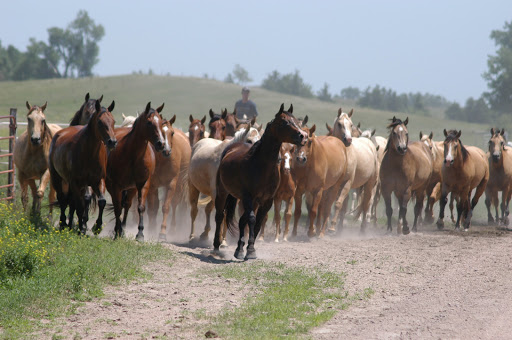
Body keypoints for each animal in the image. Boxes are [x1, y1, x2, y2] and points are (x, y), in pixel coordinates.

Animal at [106, 102, 168, 240]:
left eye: (161, 122)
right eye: (149, 122)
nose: (161, 144)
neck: (133, 155)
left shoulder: (142, 184)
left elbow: (140, 207)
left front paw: (140, 233)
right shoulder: (116, 185)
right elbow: (118, 208)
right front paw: (117, 232)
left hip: (131, 188)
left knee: (127, 204)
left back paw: (123, 228)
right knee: (119, 206)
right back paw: (118, 229)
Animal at [213, 103, 308, 260]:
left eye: (296, 121)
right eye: (284, 122)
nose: (303, 136)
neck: (261, 165)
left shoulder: (266, 201)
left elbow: (257, 223)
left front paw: (247, 250)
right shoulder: (248, 197)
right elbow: (252, 219)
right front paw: (250, 251)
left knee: (241, 221)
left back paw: (239, 249)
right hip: (222, 193)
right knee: (220, 216)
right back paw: (216, 247)